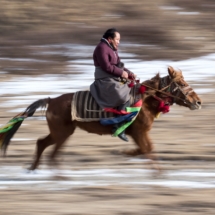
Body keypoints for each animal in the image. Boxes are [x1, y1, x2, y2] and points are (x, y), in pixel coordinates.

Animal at [0, 65, 202, 170]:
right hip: (62, 132)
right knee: (51, 152)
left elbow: (143, 150)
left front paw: (124, 153)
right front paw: (158, 173)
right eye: (181, 82)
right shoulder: (139, 132)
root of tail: (51, 100)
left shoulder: (138, 133)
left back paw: (35, 169)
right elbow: (148, 150)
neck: (146, 100)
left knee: (42, 144)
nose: (198, 102)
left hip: (61, 132)